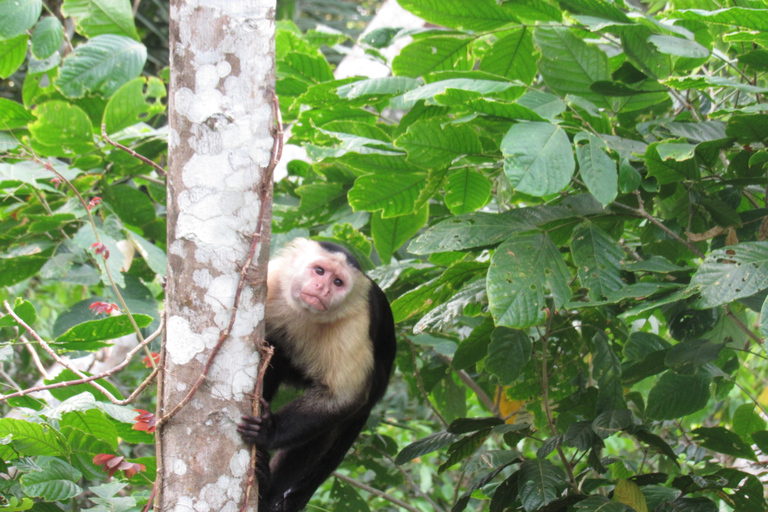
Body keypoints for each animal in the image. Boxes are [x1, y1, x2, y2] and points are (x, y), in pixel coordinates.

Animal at [238, 239, 396, 512]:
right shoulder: (274, 280)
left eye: (338, 282)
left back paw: (266, 490)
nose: (323, 288)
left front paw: (269, 431)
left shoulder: (355, 323)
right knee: (274, 350)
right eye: (320, 271)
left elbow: (343, 396)